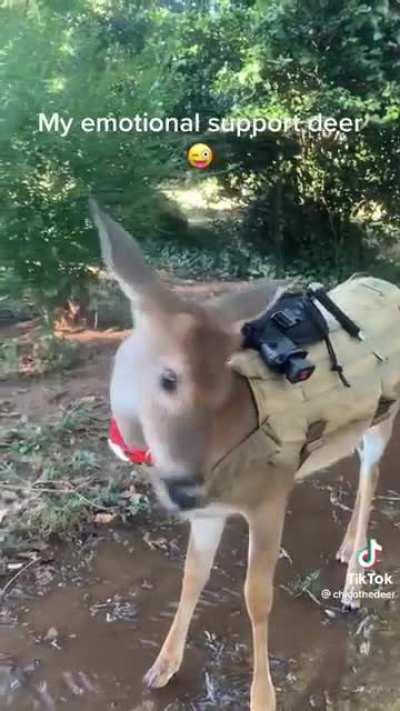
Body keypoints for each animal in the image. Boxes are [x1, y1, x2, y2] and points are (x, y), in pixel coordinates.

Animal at [90, 199, 399, 711]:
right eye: (169, 378)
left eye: (224, 385)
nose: (184, 488)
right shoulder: (210, 510)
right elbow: (192, 575)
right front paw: (162, 666)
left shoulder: (271, 494)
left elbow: (257, 596)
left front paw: (263, 697)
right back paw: (344, 549)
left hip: (384, 413)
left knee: (372, 477)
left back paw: (353, 588)